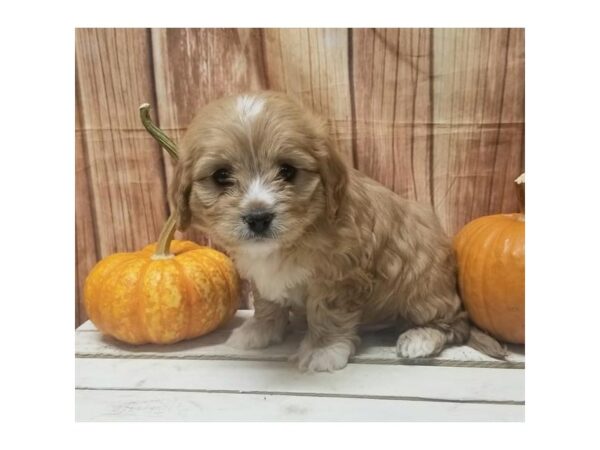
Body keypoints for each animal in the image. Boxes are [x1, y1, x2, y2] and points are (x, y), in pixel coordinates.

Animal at [171, 89, 504, 370]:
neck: (297, 236)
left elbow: (328, 313)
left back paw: (419, 338)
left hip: (424, 288)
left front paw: (323, 350)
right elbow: (267, 302)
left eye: (287, 171)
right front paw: (258, 330)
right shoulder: (262, 275)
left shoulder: (342, 276)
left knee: (455, 324)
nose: (258, 217)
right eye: (221, 176)